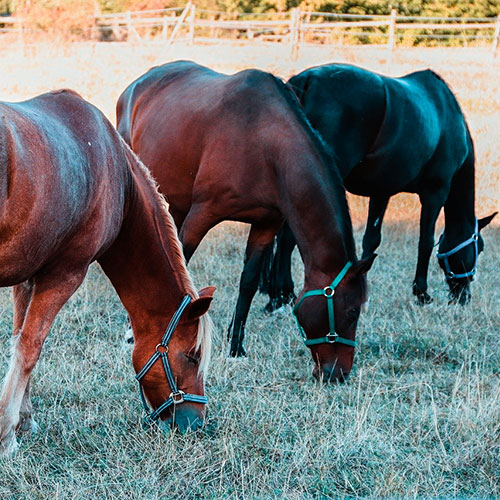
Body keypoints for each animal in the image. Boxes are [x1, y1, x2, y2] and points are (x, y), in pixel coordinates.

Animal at [0, 88, 213, 456]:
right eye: (191, 356)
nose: (196, 423)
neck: (119, 179)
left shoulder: (29, 276)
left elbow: (18, 342)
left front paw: (23, 420)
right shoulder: (64, 275)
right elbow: (30, 348)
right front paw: (7, 435)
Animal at [117, 59, 376, 378]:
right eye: (352, 312)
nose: (337, 373)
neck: (264, 143)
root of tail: (137, 85)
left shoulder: (267, 224)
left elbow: (249, 283)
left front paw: (236, 346)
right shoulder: (202, 213)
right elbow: (181, 265)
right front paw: (136, 334)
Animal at [262, 64, 496, 310]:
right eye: (479, 247)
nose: (463, 297)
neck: (447, 119)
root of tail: (306, 81)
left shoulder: (381, 192)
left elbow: (371, 240)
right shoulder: (435, 193)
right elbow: (426, 242)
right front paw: (422, 293)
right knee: (289, 236)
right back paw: (282, 295)